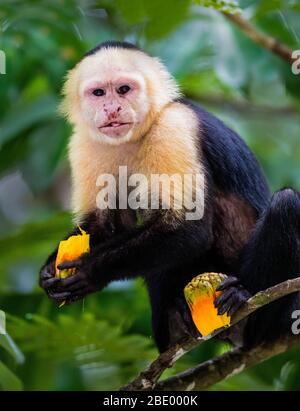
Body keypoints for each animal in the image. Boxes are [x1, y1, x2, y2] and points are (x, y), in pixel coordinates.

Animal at [39, 41, 300, 352]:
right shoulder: (85, 143)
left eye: (124, 89)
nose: (112, 108)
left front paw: (90, 271)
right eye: (99, 93)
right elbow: (104, 226)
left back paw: (244, 302)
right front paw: (48, 269)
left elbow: (189, 228)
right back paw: (174, 321)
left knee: (286, 203)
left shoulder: (173, 128)